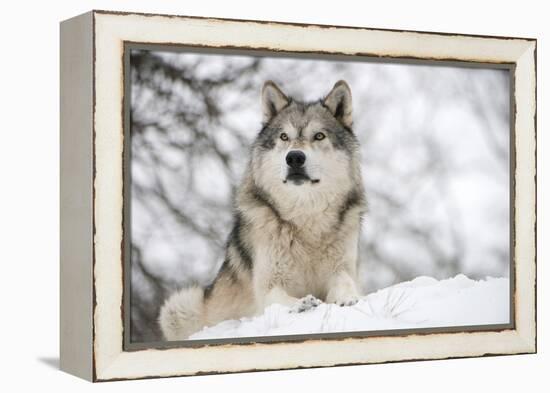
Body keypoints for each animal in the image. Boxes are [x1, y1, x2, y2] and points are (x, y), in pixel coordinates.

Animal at [160, 79, 366, 340]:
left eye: (319, 136)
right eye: (284, 137)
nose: (294, 157)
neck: (305, 220)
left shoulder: (342, 269)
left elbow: (345, 282)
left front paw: (348, 298)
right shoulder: (268, 285)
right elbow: (279, 298)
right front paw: (302, 304)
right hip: (179, 306)